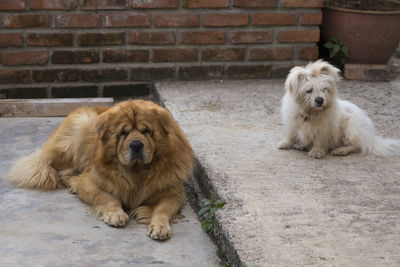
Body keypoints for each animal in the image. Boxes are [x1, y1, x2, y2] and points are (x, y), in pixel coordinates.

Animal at [6, 100, 194, 241]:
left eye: (146, 131)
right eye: (123, 133)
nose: (136, 144)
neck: (137, 172)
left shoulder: (173, 192)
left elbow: (162, 209)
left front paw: (160, 227)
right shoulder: (91, 182)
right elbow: (107, 197)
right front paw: (116, 214)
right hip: (80, 129)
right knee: (62, 171)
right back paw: (74, 184)